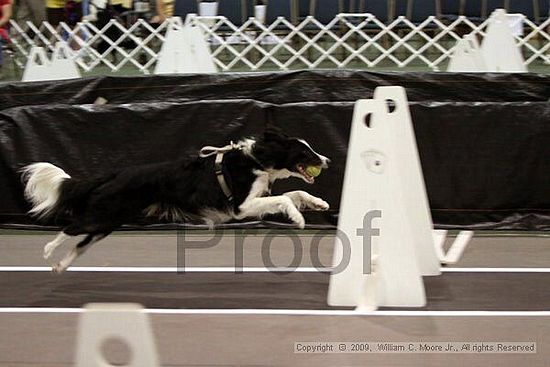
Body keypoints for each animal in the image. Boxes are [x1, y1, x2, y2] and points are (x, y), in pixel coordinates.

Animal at [20, 128, 332, 272]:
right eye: (305, 153)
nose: (327, 161)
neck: (257, 159)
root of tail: (115, 174)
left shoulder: (257, 199)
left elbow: (295, 194)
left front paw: (319, 204)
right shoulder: (241, 207)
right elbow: (286, 200)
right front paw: (299, 219)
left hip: (108, 221)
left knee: (81, 243)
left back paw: (60, 266)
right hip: (101, 215)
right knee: (70, 228)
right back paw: (48, 251)